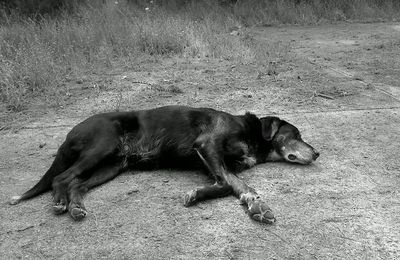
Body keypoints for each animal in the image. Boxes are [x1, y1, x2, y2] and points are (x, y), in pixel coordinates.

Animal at [8, 105, 318, 223]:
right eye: (296, 135)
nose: (317, 154)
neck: (249, 132)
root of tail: (70, 132)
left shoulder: (217, 163)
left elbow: (233, 184)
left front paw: (253, 204)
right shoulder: (207, 147)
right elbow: (229, 183)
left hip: (112, 166)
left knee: (76, 183)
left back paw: (75, 206)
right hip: (100, 148)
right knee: (61, 178)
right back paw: (61, 202)